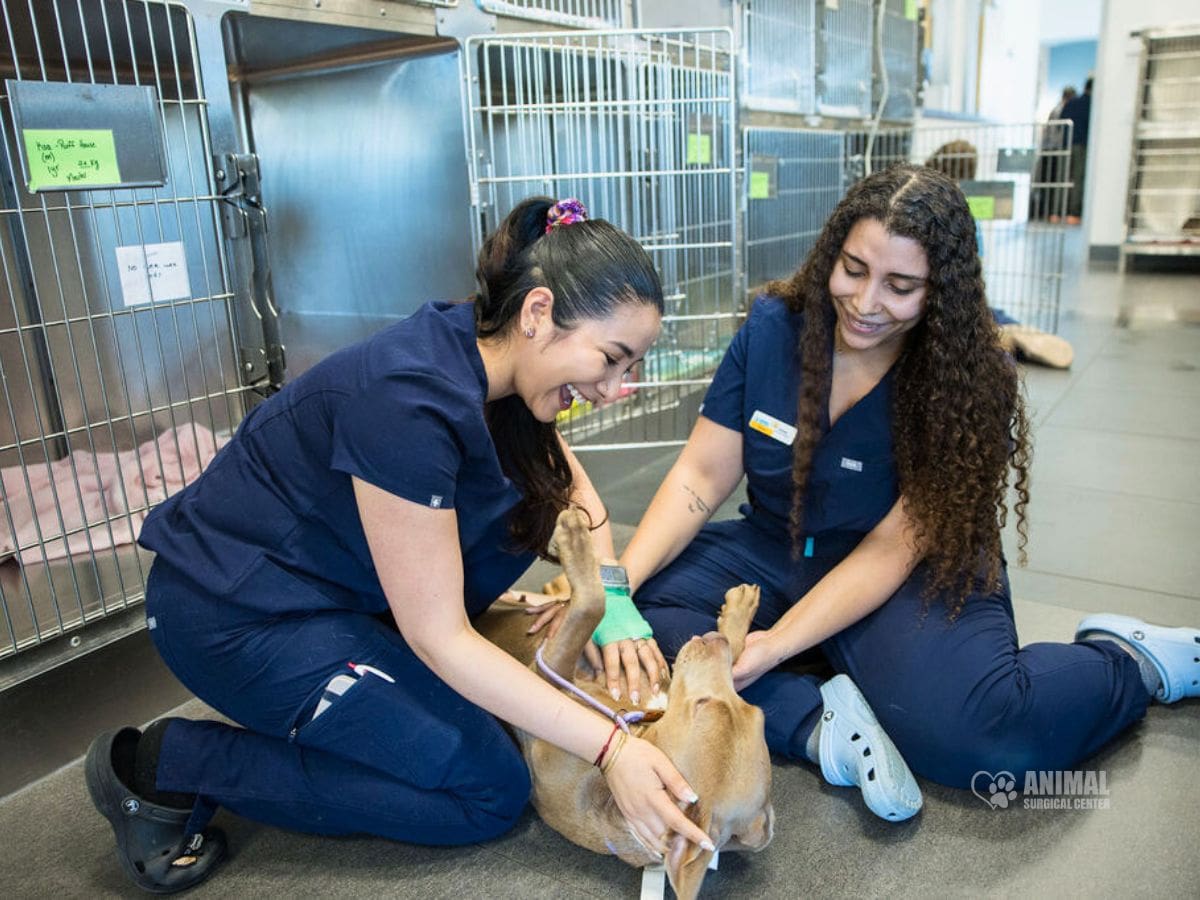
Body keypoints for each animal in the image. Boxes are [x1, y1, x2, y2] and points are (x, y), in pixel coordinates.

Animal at [472, 511, 772, 897]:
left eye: (703, 704)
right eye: (755, 712)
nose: (713, 639)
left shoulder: (543, 675)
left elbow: (590, 605)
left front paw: (573, 538)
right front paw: (738, 615)